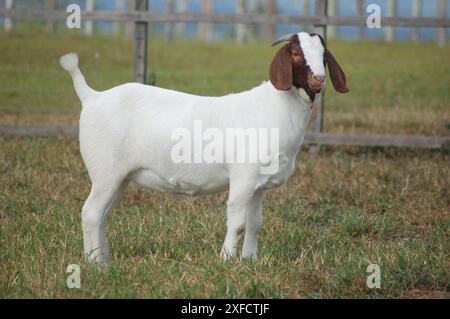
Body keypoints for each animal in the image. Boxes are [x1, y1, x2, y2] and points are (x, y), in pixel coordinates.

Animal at [59, 31, 348, 264]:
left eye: (323, 55)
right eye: (296, 53)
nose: (318, 79)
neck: (275, 107)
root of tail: (92, 97)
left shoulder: (259, 186)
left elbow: (255, 224)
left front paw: (250, 261)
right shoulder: (243, 179)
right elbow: (238, 224)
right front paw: (226, 260)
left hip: (120, 177)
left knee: (101, 215)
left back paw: (103, 258)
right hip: (105, 171)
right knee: (90, 213)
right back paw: (94, 262)